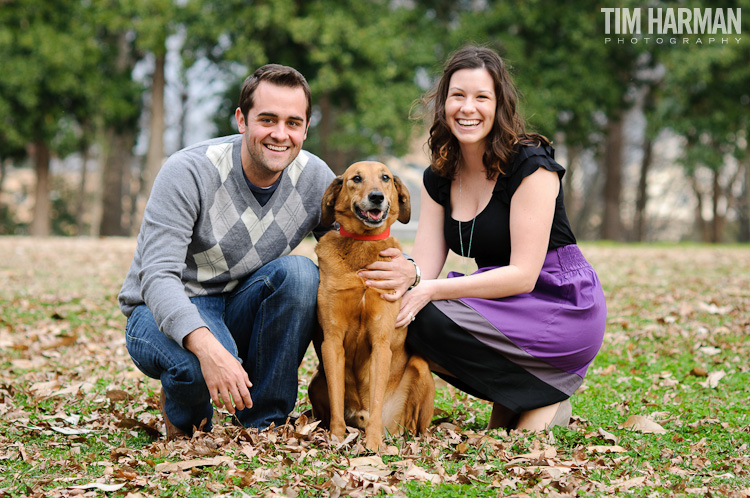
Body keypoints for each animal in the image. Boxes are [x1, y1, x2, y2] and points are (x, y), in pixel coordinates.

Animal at [306, 160, 434, 452]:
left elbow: (375, 400)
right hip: (315, 381)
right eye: (356, 178)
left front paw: (373, 445)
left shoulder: (380, 342)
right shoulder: (332, 342)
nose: (376, 197)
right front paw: (337, 437)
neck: (363, 244)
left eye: (385, 177)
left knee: (415, 427)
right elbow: (337, 398)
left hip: (421, 370)